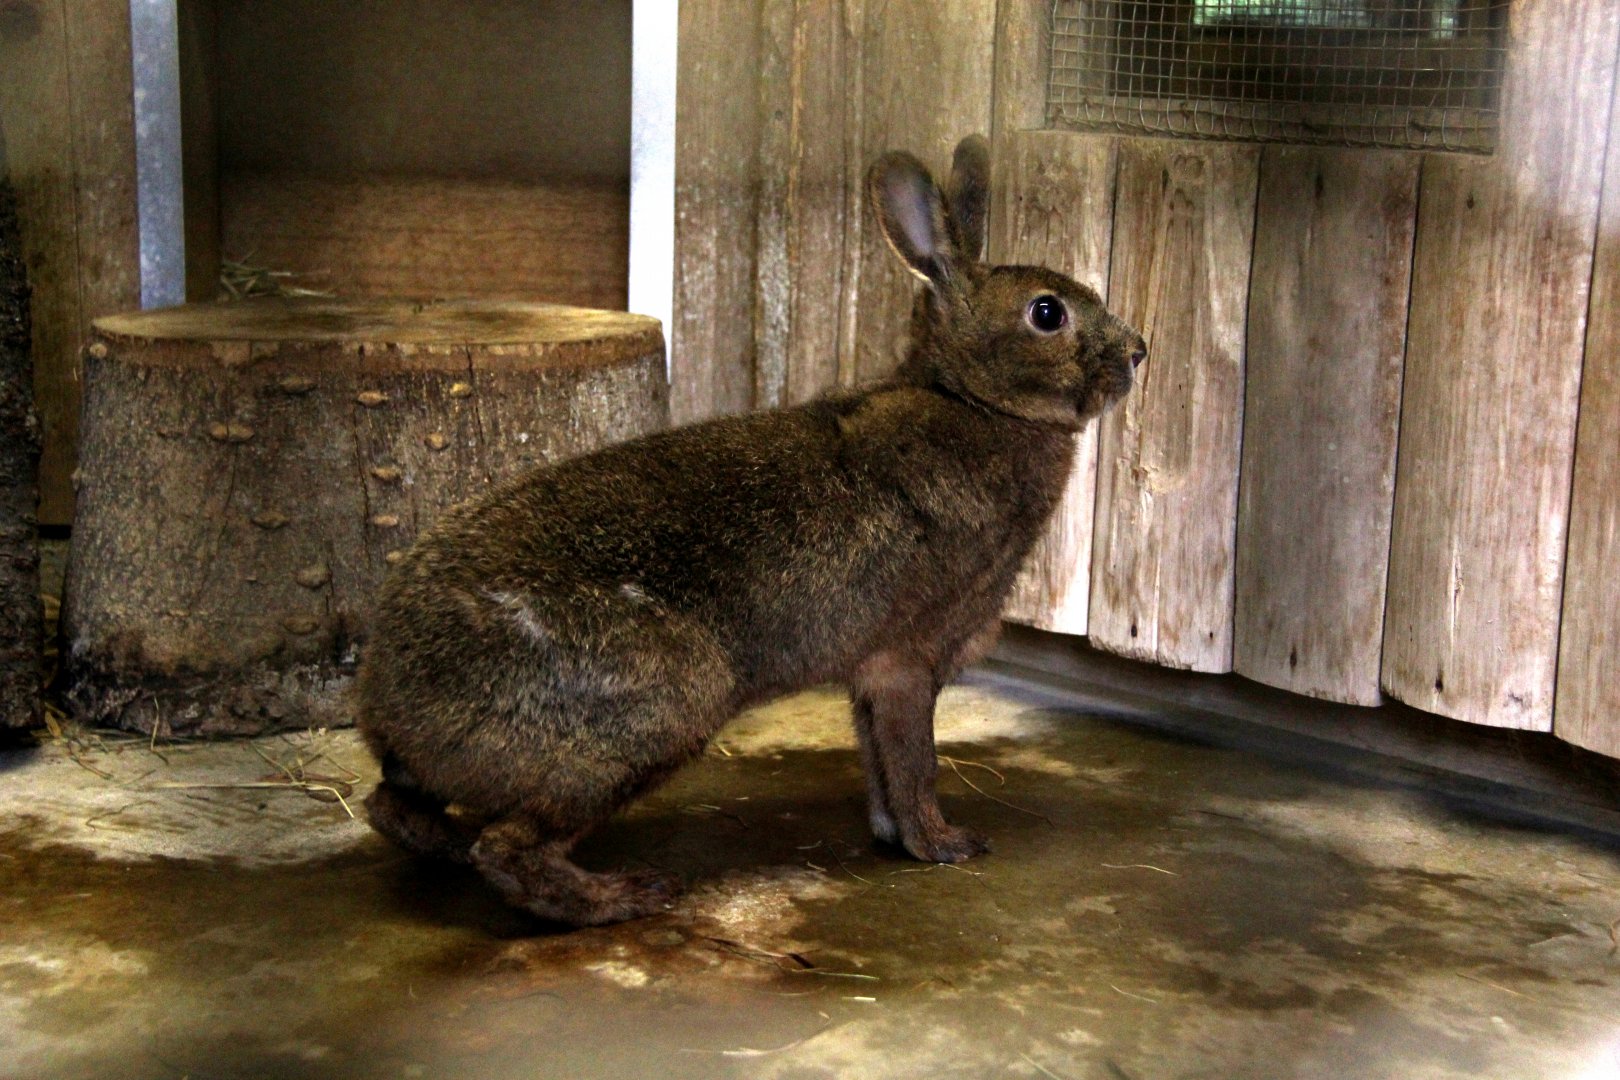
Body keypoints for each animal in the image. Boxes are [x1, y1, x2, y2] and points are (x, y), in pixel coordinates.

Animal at [355, 134, 1146, 927]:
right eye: (1047, 313)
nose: (1138, 351)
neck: (973, 402)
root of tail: (391, 707)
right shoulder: (905, 660)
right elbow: (912, 760)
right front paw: (945, 845)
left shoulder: (872, 674)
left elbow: (878, 761)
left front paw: (892, 836)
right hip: (658, 708)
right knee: (507, 848)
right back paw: (624, 896)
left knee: (394, 808)